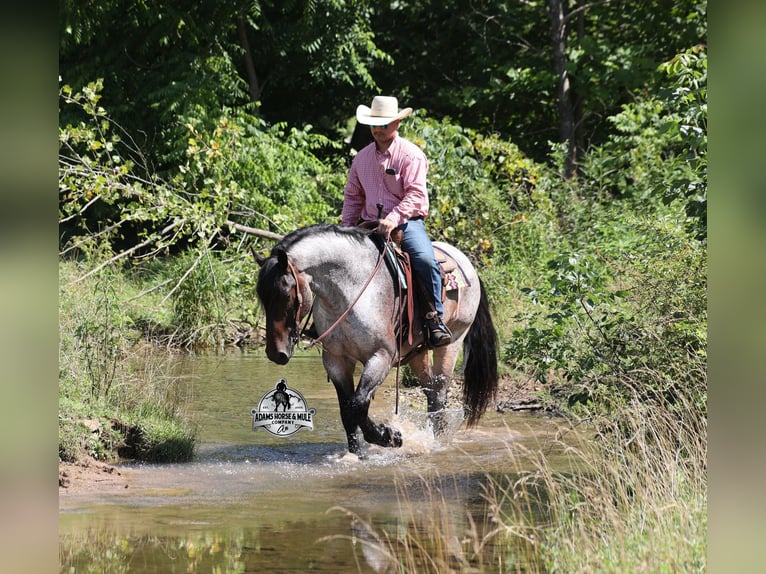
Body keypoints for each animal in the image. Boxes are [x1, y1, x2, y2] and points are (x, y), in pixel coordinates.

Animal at [255, 224, 498, 455]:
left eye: (286, 294)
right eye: (262, 298)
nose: (275, 353)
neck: (350, 287)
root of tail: (466, 262)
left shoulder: (381, 356)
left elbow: (357, 404)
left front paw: (389, 436)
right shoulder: (336, 360)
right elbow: (347, 410)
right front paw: (357, 454)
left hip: (452, 342)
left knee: (439, 392)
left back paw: (435, 442)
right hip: (417, 352)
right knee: (430, 390)